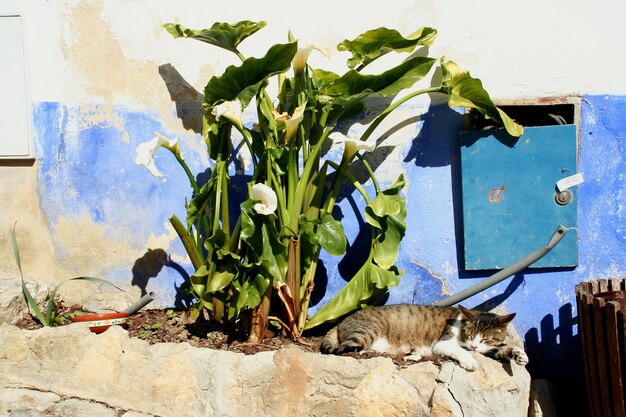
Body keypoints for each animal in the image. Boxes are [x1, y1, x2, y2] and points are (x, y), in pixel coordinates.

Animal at [316, 302, 528, 370]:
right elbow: (460, 350)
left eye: (485, 338)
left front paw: (519, 354)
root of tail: (341, 321)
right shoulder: (442, 344)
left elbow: (502, 349)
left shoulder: (488, 348)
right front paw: (469, 360)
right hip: (367, 331)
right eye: (469, 334)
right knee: (342, 348)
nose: (475, 347)